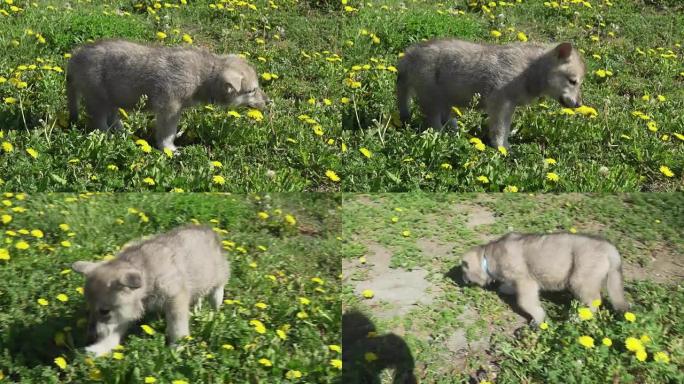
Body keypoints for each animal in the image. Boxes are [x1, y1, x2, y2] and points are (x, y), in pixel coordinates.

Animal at [67, 39, 270, 152]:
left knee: (113, 119)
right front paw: (169, 149)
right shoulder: (169, 108)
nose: (268, 102)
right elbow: (168, 132)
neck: (203, 76)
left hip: (112, 98)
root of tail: (75, 56)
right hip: (98, 98)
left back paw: (123, 133)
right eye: (251, 90)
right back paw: (108, 138)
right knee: (99, 122)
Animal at [73, 225, 230, 356]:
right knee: (199, 296)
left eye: (104, 311)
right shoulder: (126, 311)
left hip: (217, 279)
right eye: (89, 308)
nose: (90, 337)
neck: (147, 275)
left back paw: (214, 313)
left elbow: (177, 327)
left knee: (216, 294)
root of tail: (210, 230)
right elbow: (114, 331)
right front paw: (100, 348)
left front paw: (176, 347)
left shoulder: (175, 299)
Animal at [398, 39, 584, 147]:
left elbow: (506, 129)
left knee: (447, 119)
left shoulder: (509, 106)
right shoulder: (499, 104)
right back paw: (442, 138)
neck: (529, 70)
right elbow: (499, 130)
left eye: (579, 83)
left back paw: (456, 133)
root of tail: (410, 54)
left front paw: (506, 148)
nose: (579, 104)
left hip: (446, 99)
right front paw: (500, 149)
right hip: (432, 100)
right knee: (434, 124)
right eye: (573, 81)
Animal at [462, 231, 628, 324]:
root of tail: (609, 248)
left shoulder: (526, 283)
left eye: (463, 272)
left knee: (594, 301)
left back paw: (577, 318)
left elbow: (525, 302)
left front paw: (538, 319)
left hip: (581, 279)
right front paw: (506, 288)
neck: (487, 257)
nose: (463, 282)